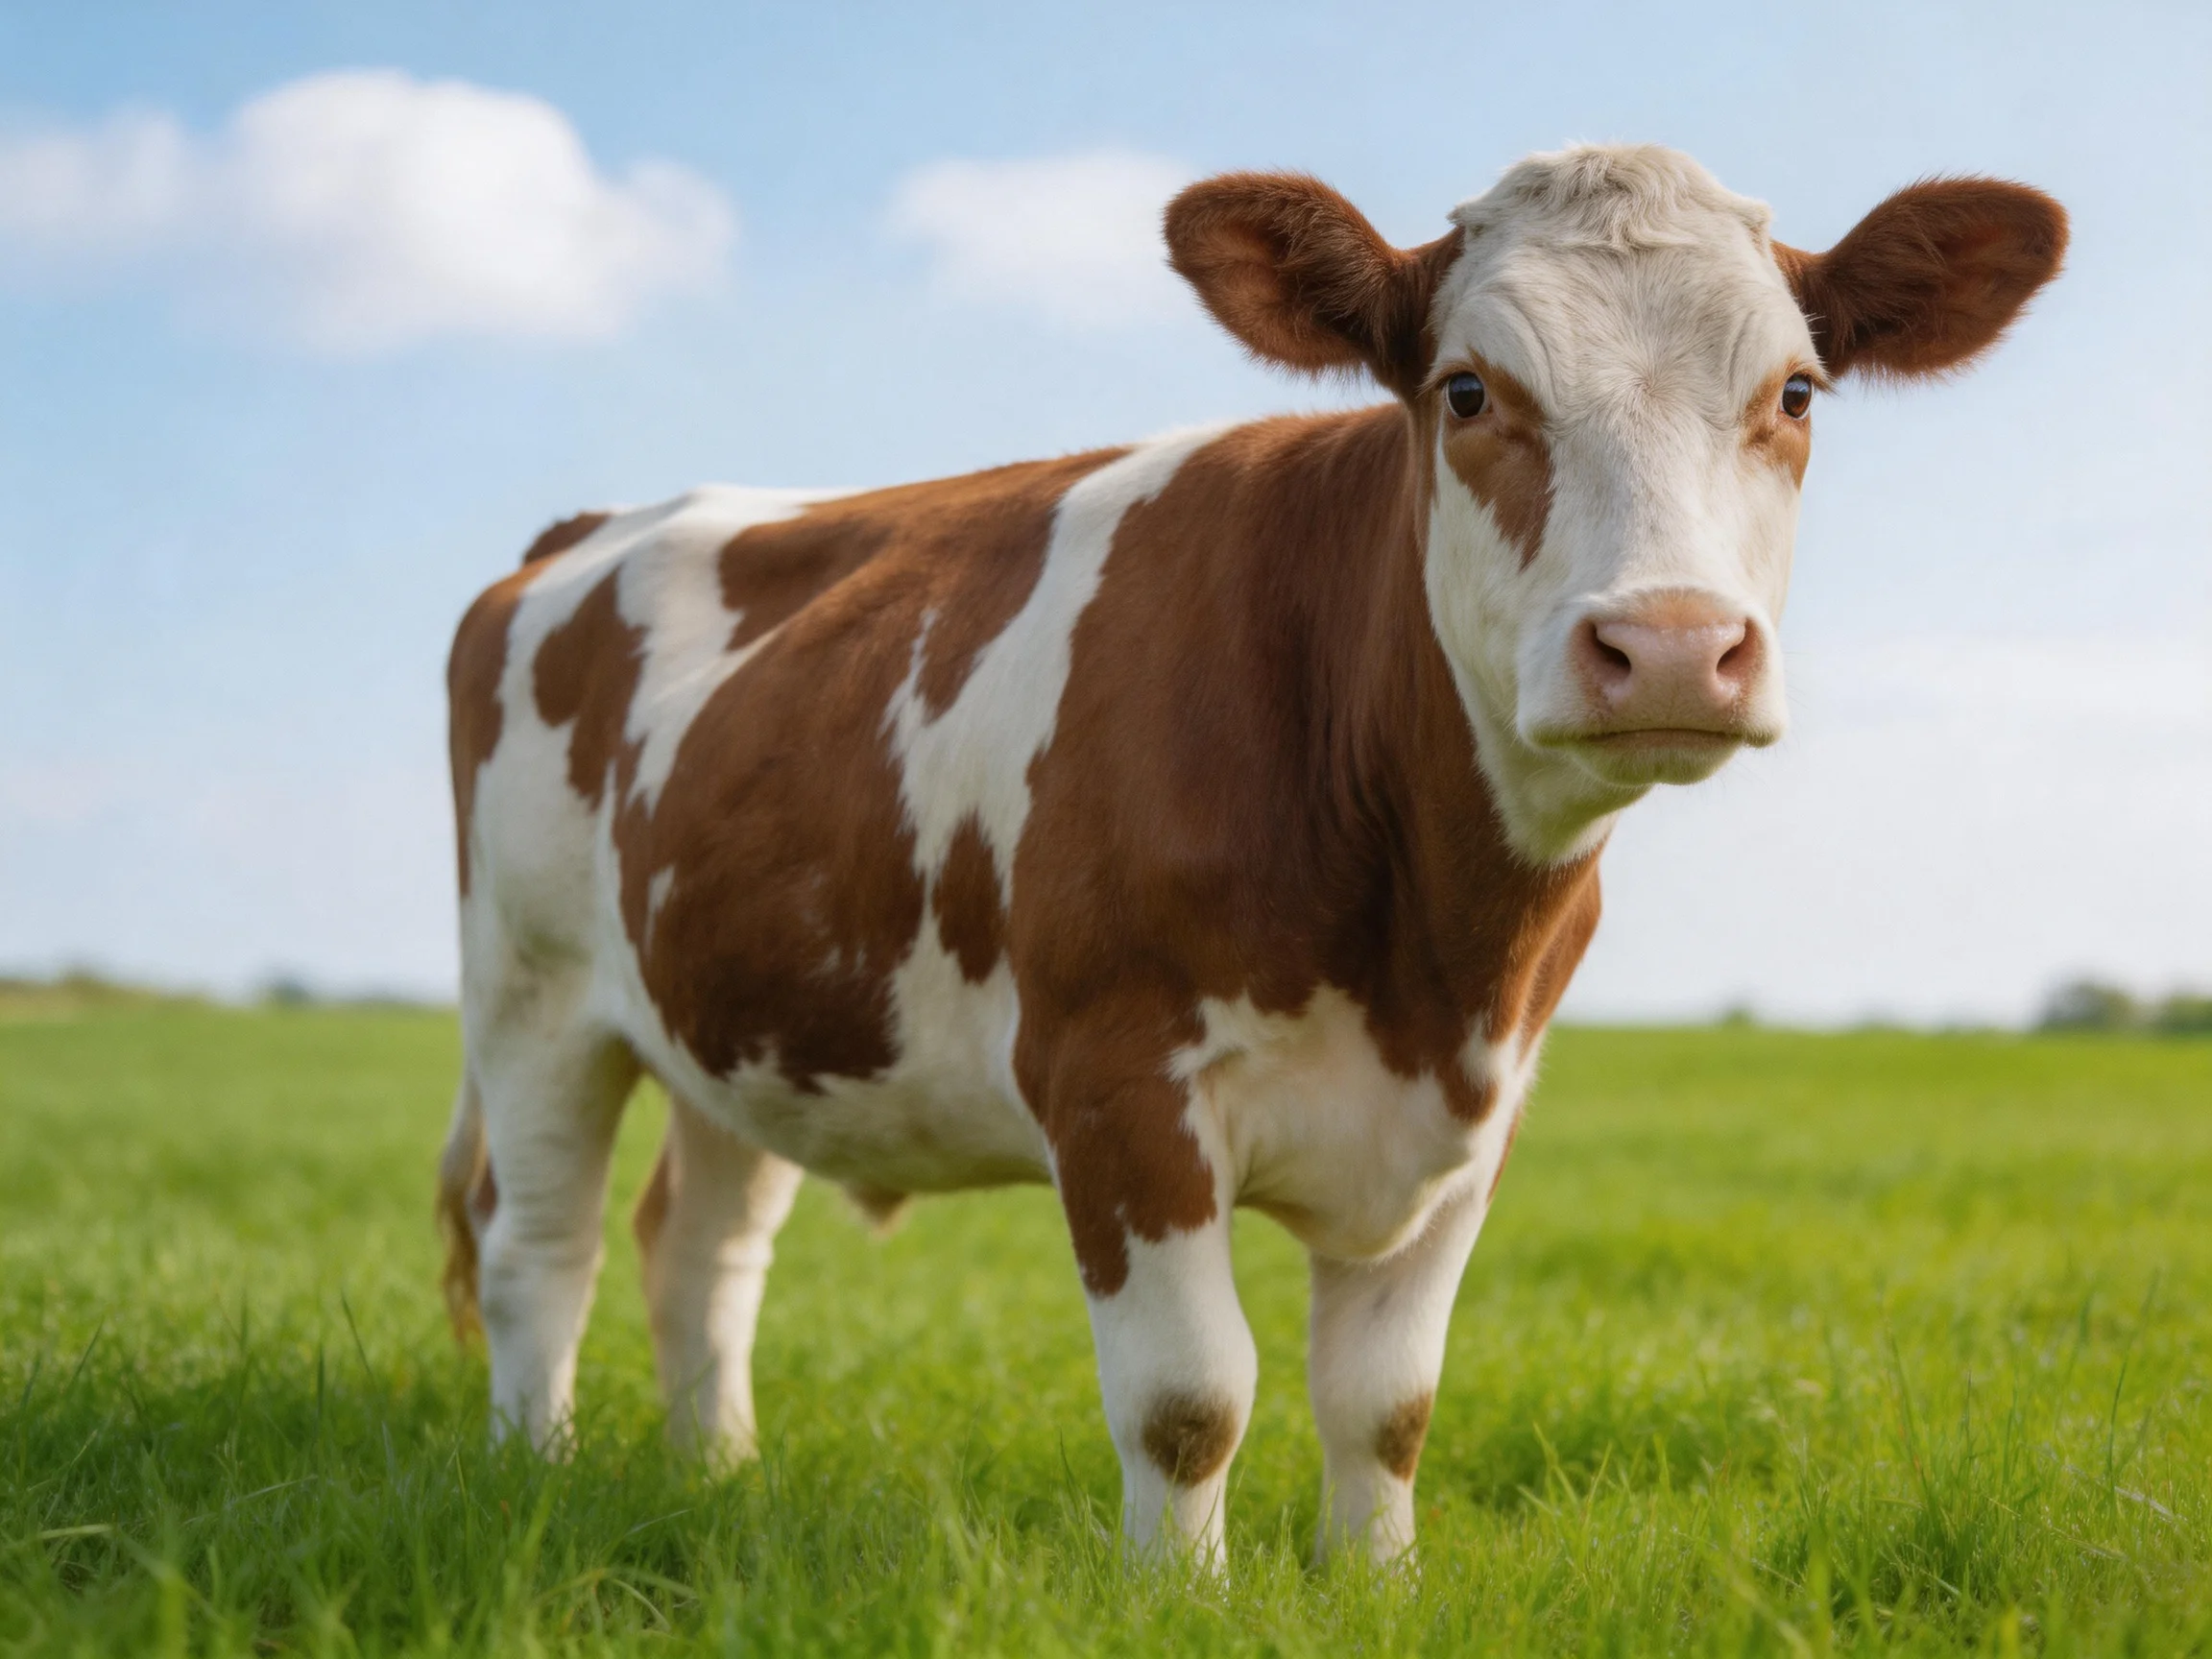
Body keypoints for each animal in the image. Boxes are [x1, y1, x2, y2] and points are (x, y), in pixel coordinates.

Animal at [436, 144, 2064, 1566]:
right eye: (1467, 389)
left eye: (1795, 391)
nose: (1669, 646)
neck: (1427, 949)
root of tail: (603, 523)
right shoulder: (1115, 1079)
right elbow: (1189, 1402)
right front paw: (1180, 1597)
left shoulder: (1480, 1113)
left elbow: (1388, 1405)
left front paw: (1379, 1586)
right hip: (531, 993)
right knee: (539, 1246)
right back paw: (532, 1475)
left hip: (747, 1018)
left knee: (699, 1251)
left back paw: (718, 1477)